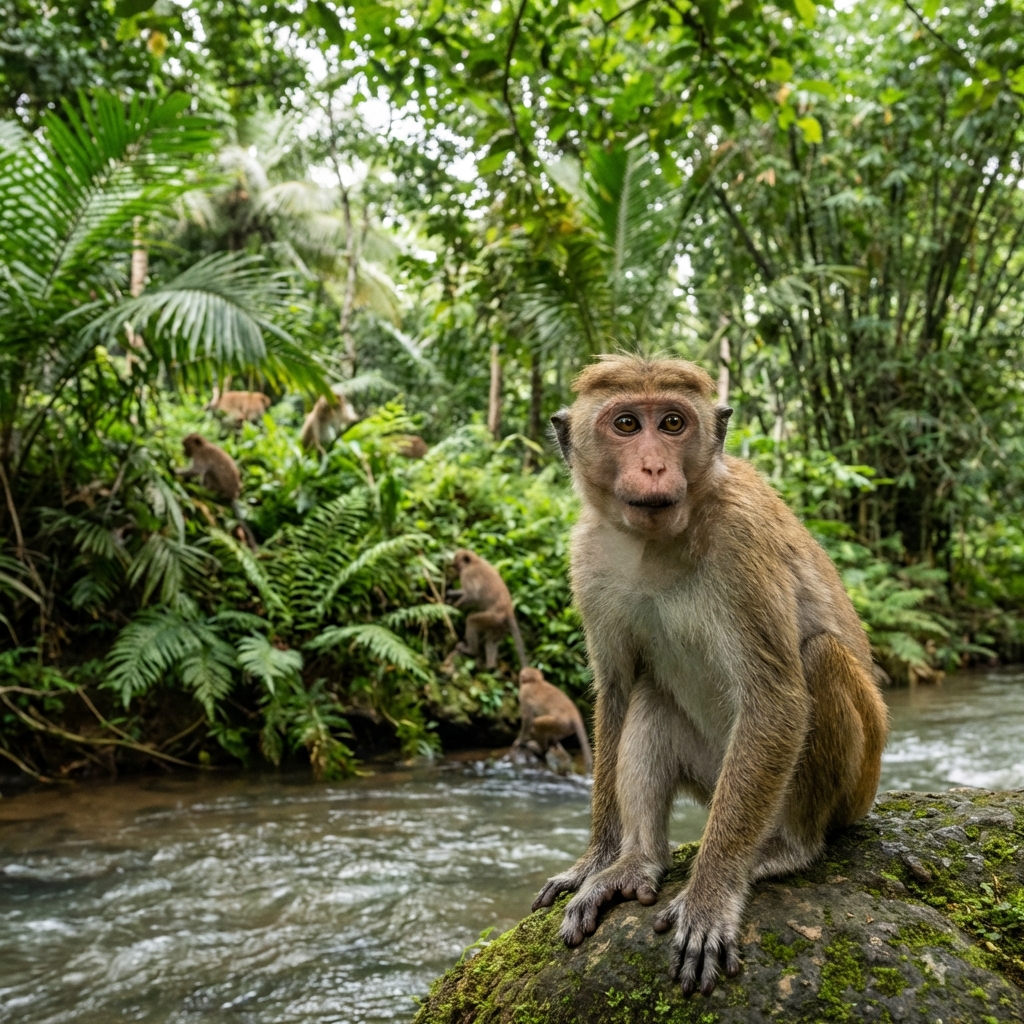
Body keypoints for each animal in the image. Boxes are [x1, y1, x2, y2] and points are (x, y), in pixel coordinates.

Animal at [532, 355, 889, 997]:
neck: (655, 544)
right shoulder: (588, 557)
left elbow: (776, 697)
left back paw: (786, 849)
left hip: (847, 786)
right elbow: (616, 691)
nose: (653, 465)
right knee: (650, 693)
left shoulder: (741, 541)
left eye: (673, 423)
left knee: (819, 659)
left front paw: (708, 897)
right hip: (710, 771)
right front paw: (595, 859)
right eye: (627, 424)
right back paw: (637, 863)